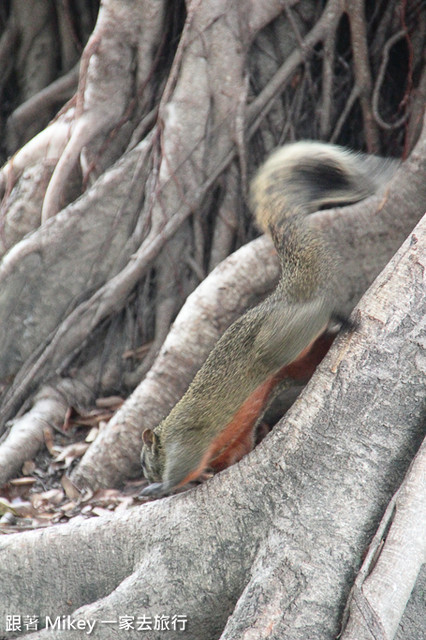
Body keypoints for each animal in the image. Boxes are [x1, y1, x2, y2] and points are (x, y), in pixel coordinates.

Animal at [141, 142, 396, 498]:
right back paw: (338, 329)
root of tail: (286, 295)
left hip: (277, 339)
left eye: (144, 461)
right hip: (296, 362)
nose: (145, 477)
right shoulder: (233, 445)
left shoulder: (187, 437)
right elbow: (231, 456)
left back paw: (334, 312)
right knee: (315, 351)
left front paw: (159, 487)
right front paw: (204, 476)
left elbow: (182, 466)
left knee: (313, 314)